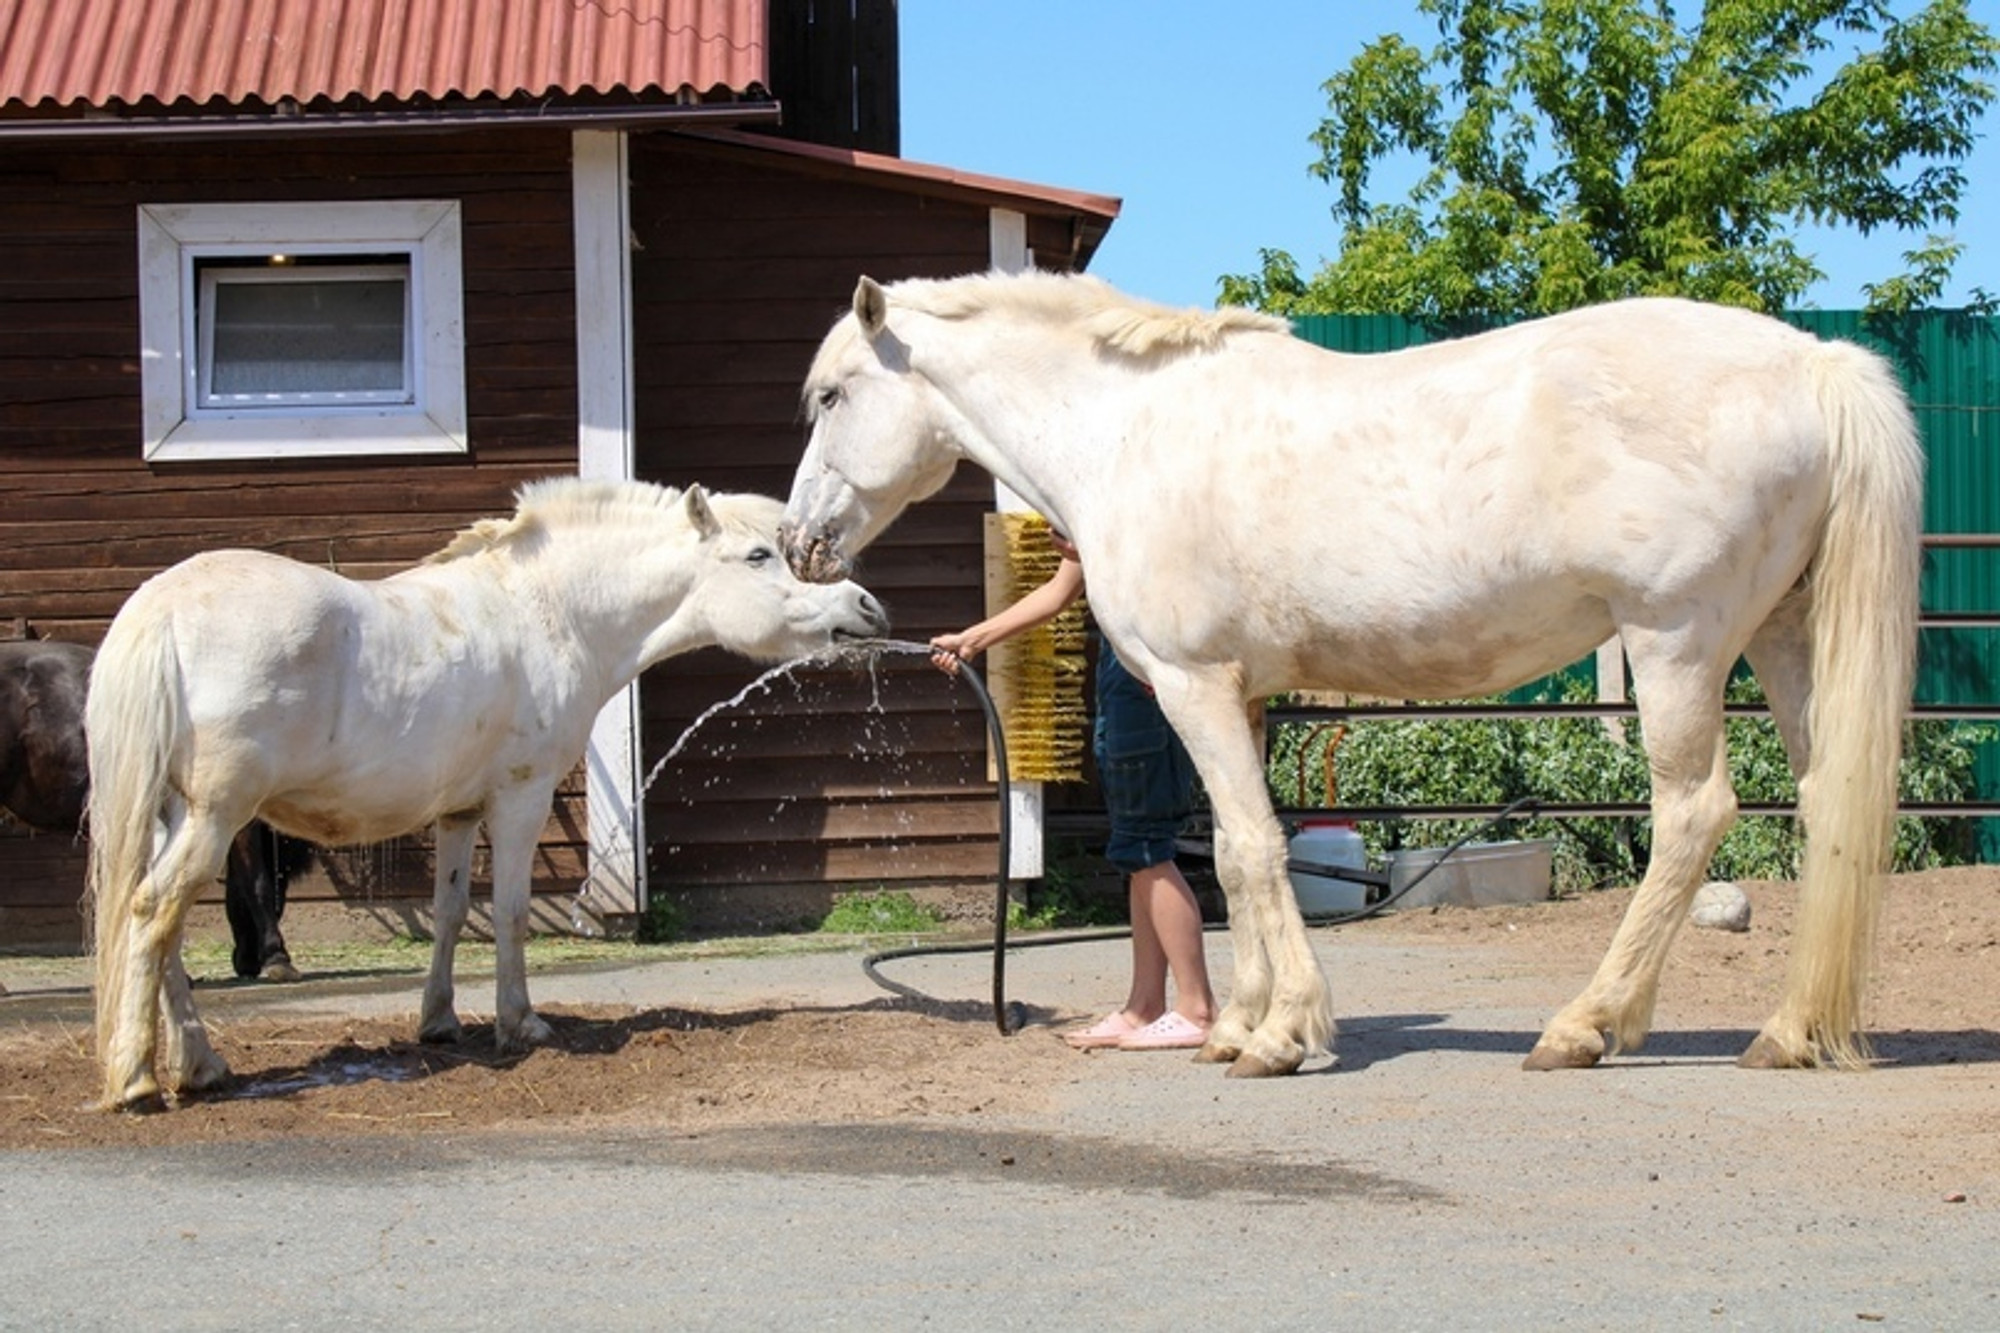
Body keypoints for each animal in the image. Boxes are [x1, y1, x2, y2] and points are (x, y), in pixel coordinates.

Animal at [86, 472, 884, 1104]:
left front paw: (439, 1021)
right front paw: (519, 1020)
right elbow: (508, 910)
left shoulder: (459, 812)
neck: (547, 609)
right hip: (216, 817)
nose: (867, 608)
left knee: (157, 926)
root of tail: (161, 606)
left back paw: (200, 1064)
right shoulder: (519, 799)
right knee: (153, 914)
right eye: (758, 556)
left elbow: (449, 912)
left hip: (169, 816)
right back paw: (138, 1079)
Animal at [780, 270, 1920, 1080]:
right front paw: (1235, 1024)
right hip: (1780, 633)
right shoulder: (1237, 695)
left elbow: (1248, 848)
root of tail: (1813, 362)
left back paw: (1582, 1026)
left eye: (831, 396)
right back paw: (1786, 1030)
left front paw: (1278, 1035)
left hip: (1675, 640)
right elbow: (1232, 857)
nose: (798, 545)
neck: (1128, 433)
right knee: (1829, 797)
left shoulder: (1193, 684)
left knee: (1692, 811)